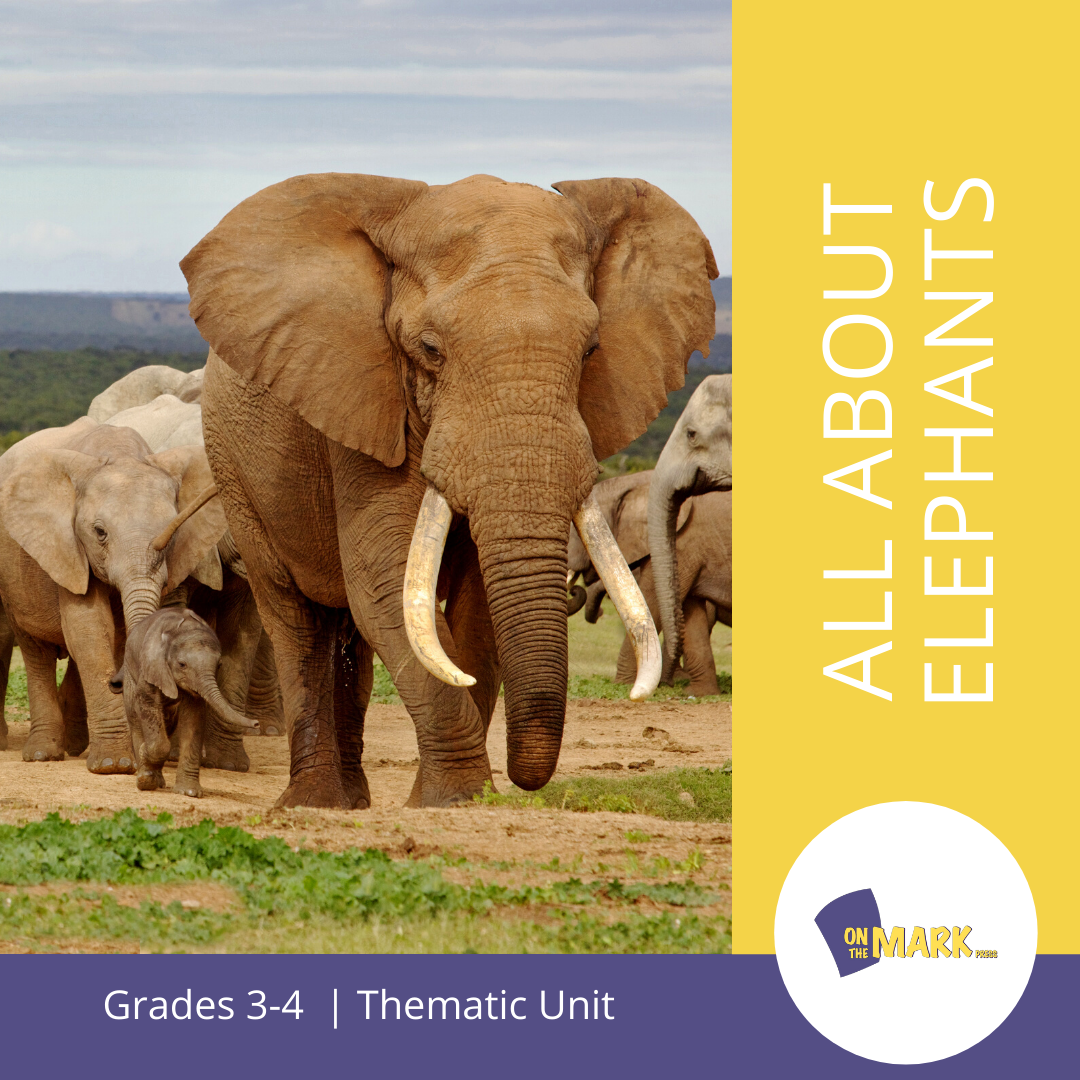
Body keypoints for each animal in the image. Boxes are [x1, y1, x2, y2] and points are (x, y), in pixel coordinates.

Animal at [0, 418, 227, 771]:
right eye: (100, 532)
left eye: (174, 530)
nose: (118, 683)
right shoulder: (71, 549)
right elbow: (89, 629)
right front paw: (114, 765)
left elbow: (117, 635)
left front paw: (131, 758)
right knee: (35, 649)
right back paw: (42, 755)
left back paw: (73, 746)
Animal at [111, 605, 259, 797]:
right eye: (182, 665)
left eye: (218, 665)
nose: (256, 723)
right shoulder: (152, 666)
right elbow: (147, 704)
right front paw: (144, 757)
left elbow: (194, 717)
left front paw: (189, 792)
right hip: (130, 671)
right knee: (135, 717)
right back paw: (146, 778)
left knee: (168, 722)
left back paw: (157, 780)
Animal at [181, 171, 717, 809]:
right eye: (430, 349)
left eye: (590, 351)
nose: (522, 780)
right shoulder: (364, 402)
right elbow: (385, 577)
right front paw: (456, 798)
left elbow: (473, 605)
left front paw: (453, 799)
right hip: (234, 468)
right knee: (295, 616)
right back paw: (315, 802)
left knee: (348, 632)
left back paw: (355, 800)